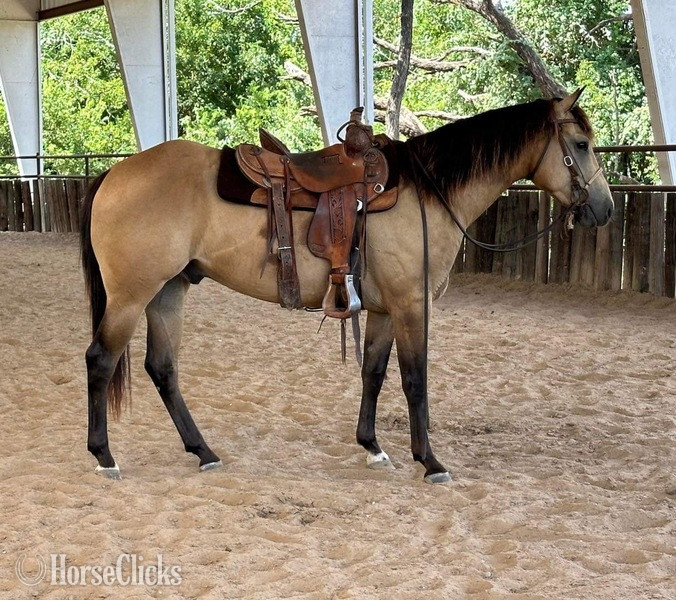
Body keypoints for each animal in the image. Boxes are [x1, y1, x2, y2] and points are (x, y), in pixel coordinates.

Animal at [81, 89, 613, 483]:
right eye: (581, 145)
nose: (605, 210)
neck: (428, 190)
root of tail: (114, 172)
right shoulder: (412, 305)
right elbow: (415, 379)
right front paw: (430, 461)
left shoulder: (381, 309)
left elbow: (373, 374)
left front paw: (373, 447)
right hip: (130, 296)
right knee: (101, 360)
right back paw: (104, 457)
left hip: (167, 292)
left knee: (162, 368)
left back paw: (203, 451)